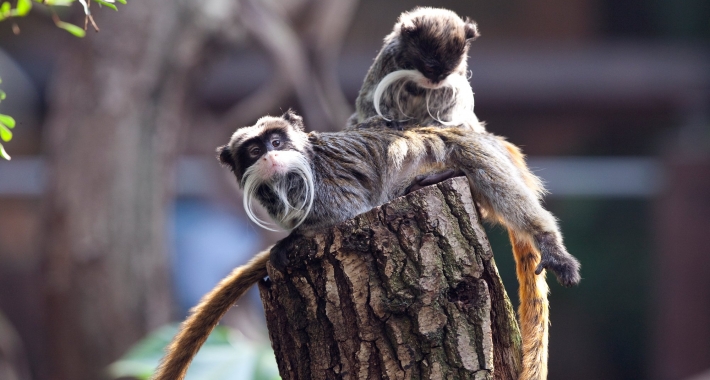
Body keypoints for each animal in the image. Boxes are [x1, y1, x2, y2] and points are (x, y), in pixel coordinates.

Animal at [153, 110, 580, 380]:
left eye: (276, 141)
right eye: (256, 151)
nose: (272, 155)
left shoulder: (327, 184)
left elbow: (348, 211)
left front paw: (290, 243)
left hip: (471, 149)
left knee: (474, 161)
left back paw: (546, 240)